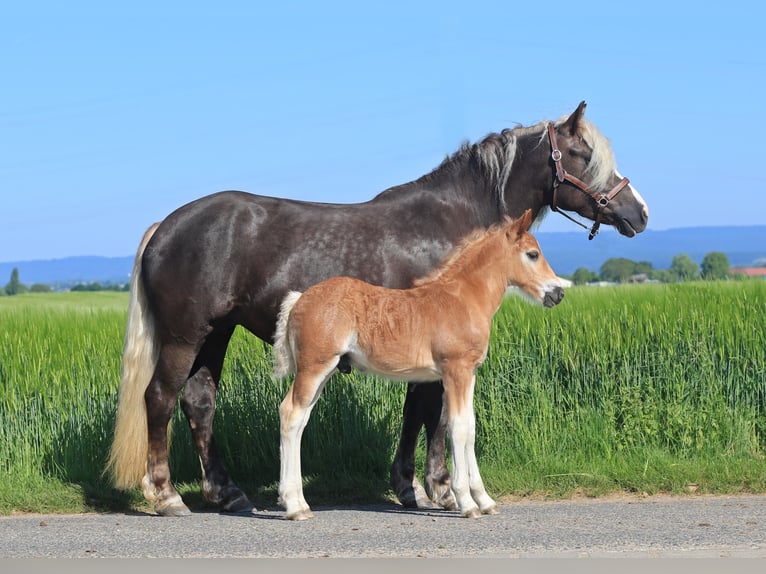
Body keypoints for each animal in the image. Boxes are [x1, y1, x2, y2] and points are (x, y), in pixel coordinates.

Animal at [273, 210, 563, 520]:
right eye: (532, 254)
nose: (558, 293)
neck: (464, 299)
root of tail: (299, 298)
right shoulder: (455, 370)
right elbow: (458, 428)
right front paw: (467, 502)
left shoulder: (469, 373)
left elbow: (471, 427)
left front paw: (485, 501)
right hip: (314, 367)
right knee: (290, 414)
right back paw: (294, 506)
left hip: (323, 370)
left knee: (301, 418)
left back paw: (298, 501)